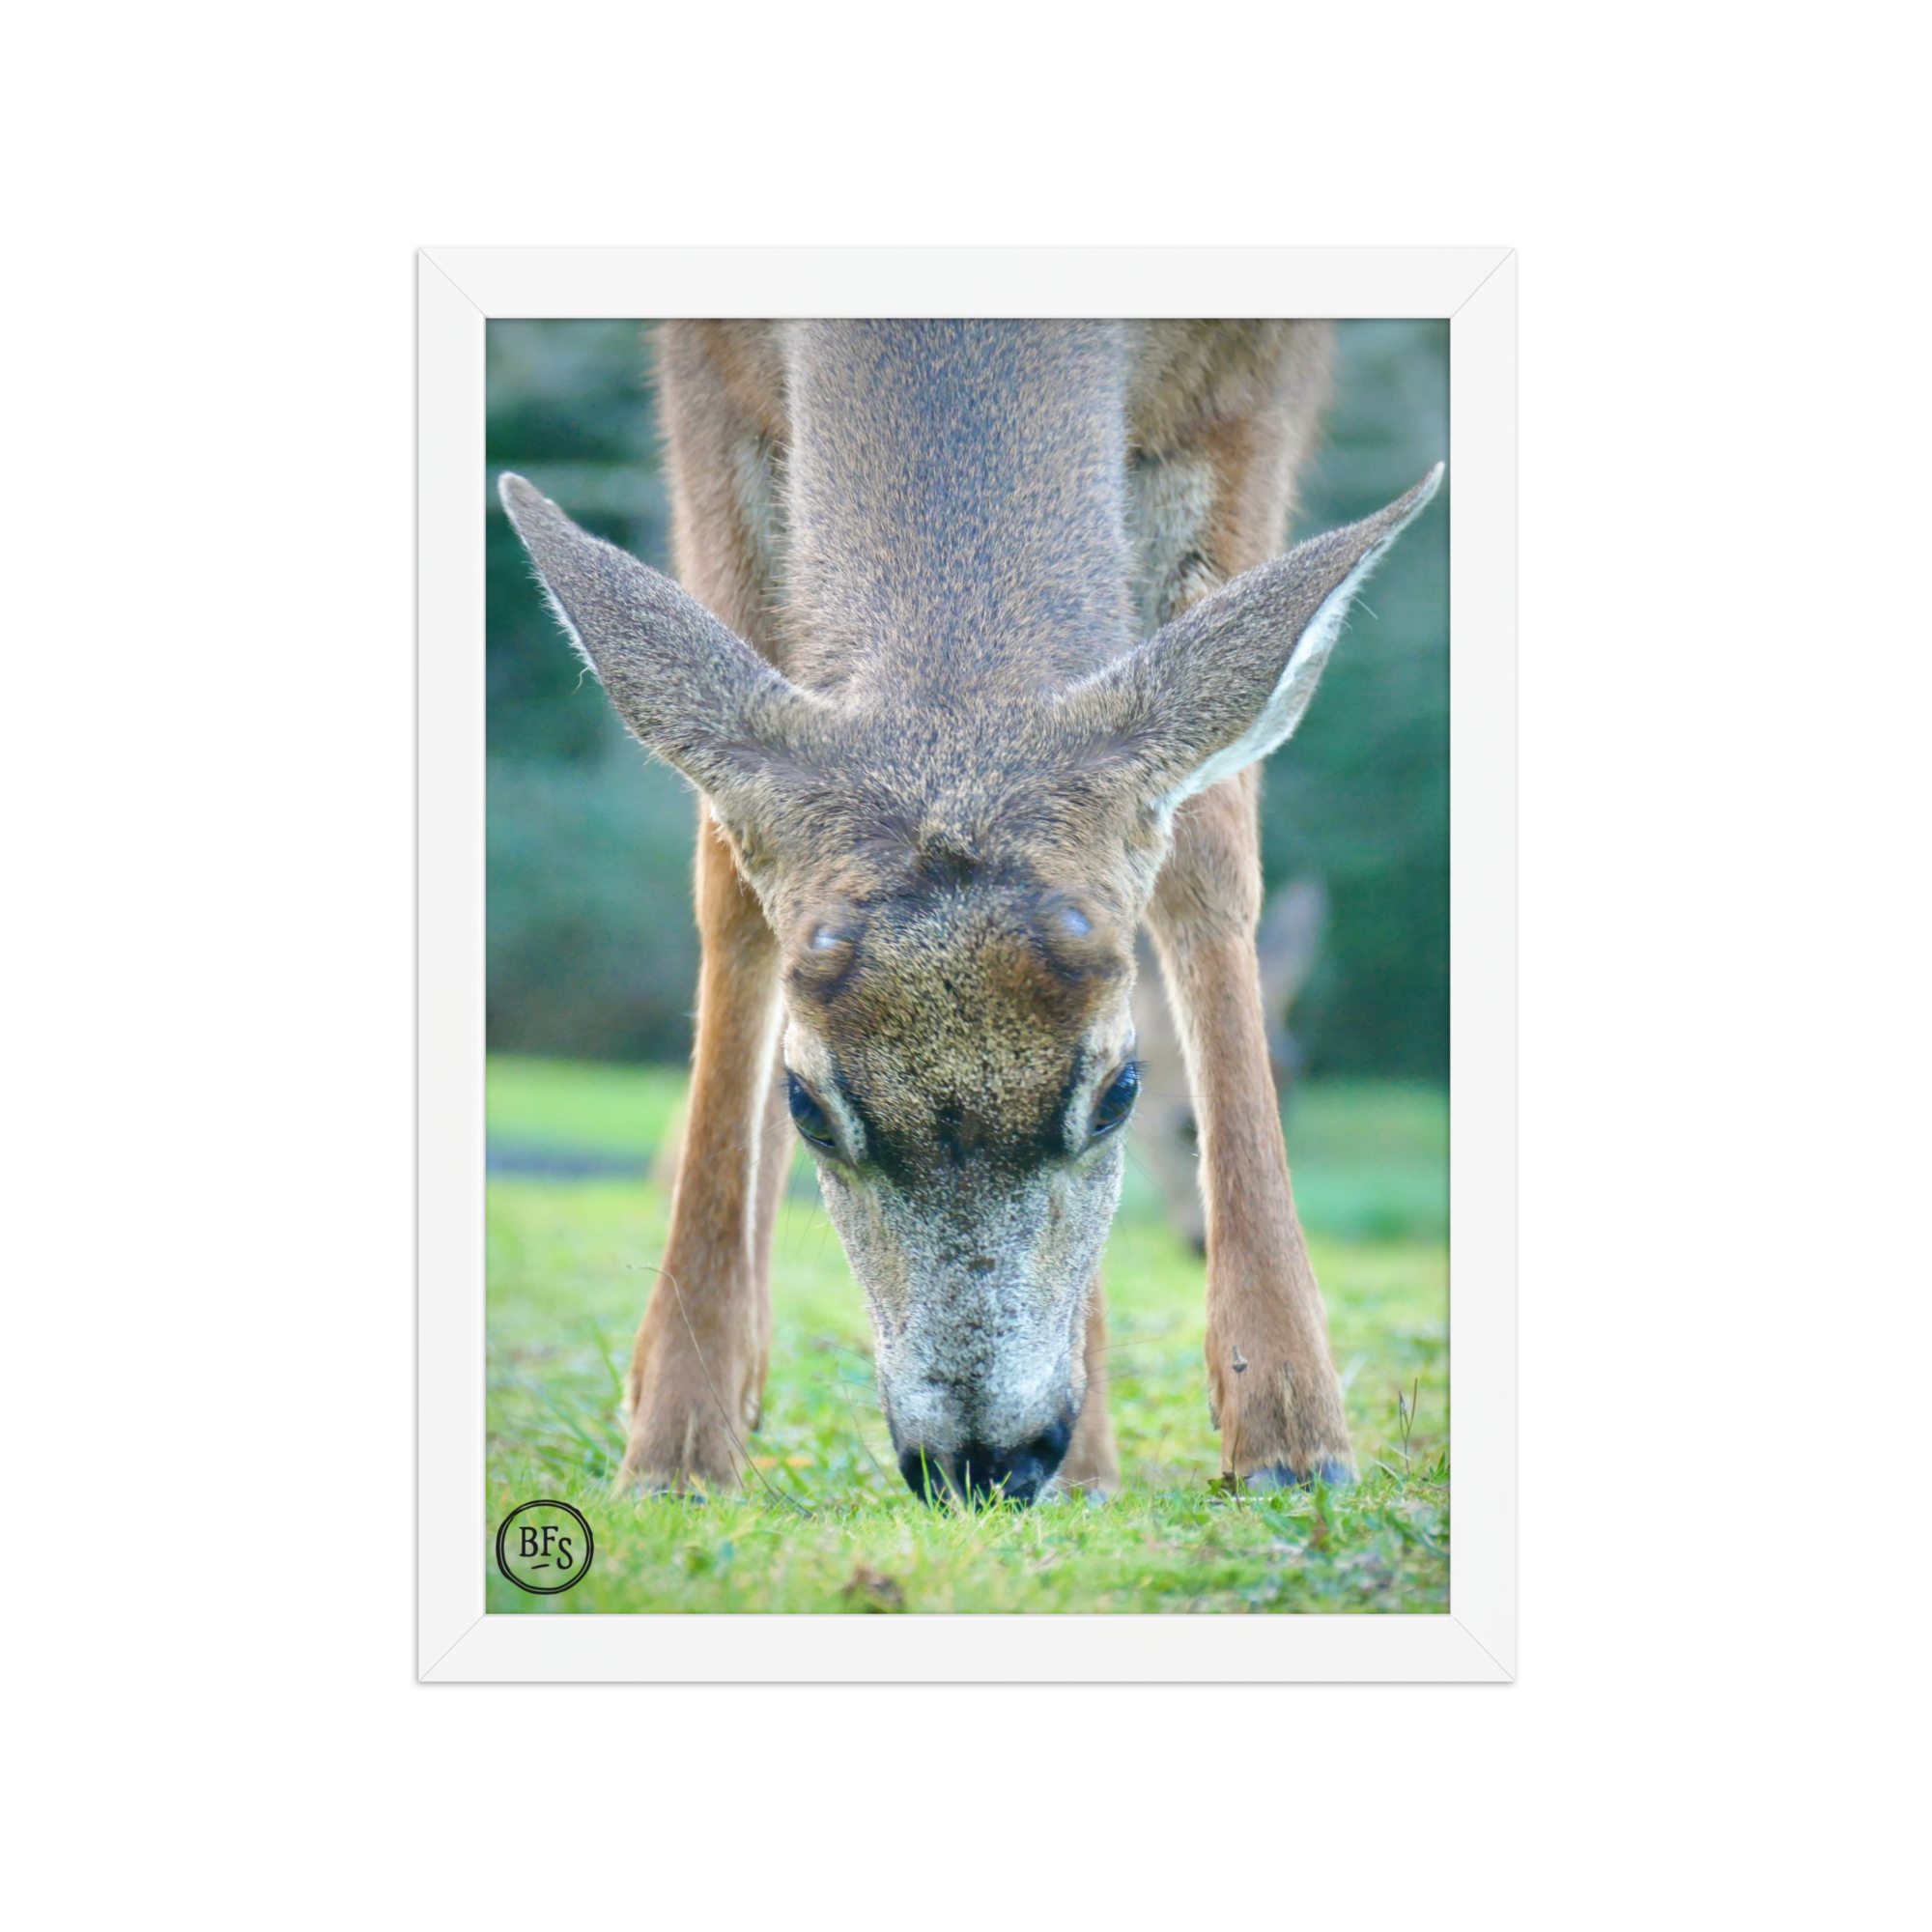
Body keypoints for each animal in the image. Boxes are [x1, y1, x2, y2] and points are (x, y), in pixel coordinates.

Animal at [498, 320, 1441, 1508]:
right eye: (808, 1106)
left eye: (1119, 1090)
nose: (984, 1460)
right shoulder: (703, 375)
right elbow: (725, 870)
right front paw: (676, 1439)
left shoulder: (1253, 388)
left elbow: (1210, 845)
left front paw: (1289, 1430)